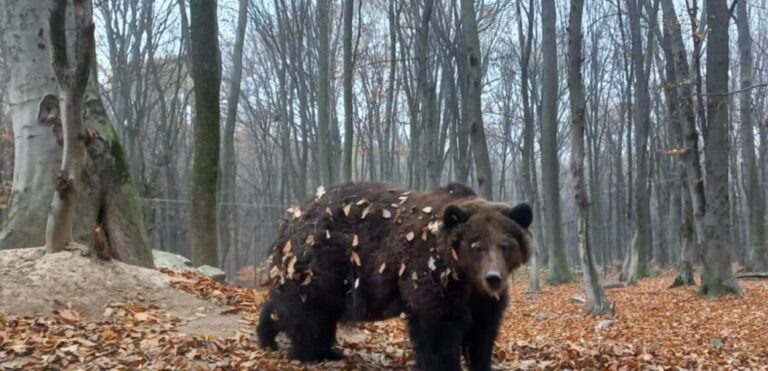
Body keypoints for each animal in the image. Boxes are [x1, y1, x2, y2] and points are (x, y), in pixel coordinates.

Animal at [255, 182, 532, 370]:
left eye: (505, 245)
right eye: (475, 245)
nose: (493, 277)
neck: (464, 277)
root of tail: (294, 217)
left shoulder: (482, 299)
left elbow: (483, 332)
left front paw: (481, 362)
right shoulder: (429, 276)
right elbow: (439, 328)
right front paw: (444, 364)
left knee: (288, 304)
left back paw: (269, 337)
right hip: (325, 259)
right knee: (309, 310)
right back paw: (314, 352)